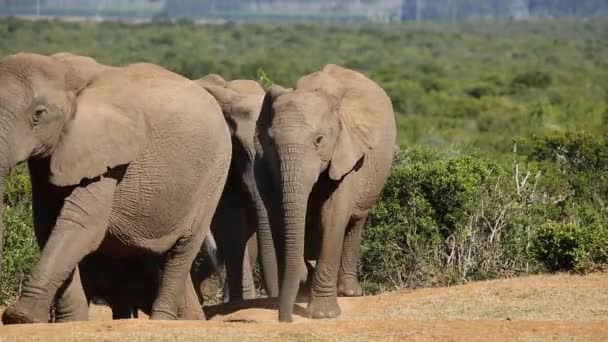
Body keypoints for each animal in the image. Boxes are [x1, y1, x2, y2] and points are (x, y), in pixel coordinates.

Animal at [0, 52, 232, 324]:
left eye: (38, 113)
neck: (64, 70)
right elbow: (47, 224)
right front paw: (71, 322)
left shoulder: (107, 152)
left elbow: (83, 225)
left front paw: (19, 317)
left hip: (214, 173)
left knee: (182, 249)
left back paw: (161, 320)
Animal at [258, 63, 400, 320]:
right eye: (272, 142)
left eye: (319, 140)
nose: (285, 319)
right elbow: (277, 215)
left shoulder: (348, 154)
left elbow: (333, 217)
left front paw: (324, 315)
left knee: (355, 223)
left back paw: (349, 292)